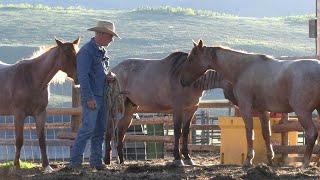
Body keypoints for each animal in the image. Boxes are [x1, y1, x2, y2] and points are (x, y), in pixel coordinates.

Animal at [0, 38, 79, 172]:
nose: (79, 77)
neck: (32, 78)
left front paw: (46, 166)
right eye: (67, 55)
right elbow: (19, 140)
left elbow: (42, 140)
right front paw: (16, 165)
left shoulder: (40, 113)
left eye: (77, 53)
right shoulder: (19, 114)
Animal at [104, 51, 235, 166]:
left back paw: (122, 161)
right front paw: (177, 158)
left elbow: (185, 132)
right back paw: (106, 161)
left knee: (121, 134)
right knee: (110, 131)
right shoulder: (178, 109)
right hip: (115, 110)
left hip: (128, 111)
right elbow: (177, 132)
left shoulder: (191, 110)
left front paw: (187, 158)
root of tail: (113, 72)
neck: (191, 80)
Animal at [181, 39, 320, 167]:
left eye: (191, 59)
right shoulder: (262, 110)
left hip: (302, 112)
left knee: (312, 133)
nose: (182, 81)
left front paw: (248, 159)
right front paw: (270, 159)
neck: (242, 69)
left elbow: (249, 132)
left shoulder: (245, 107)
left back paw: (305, 163)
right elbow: (266, 133)